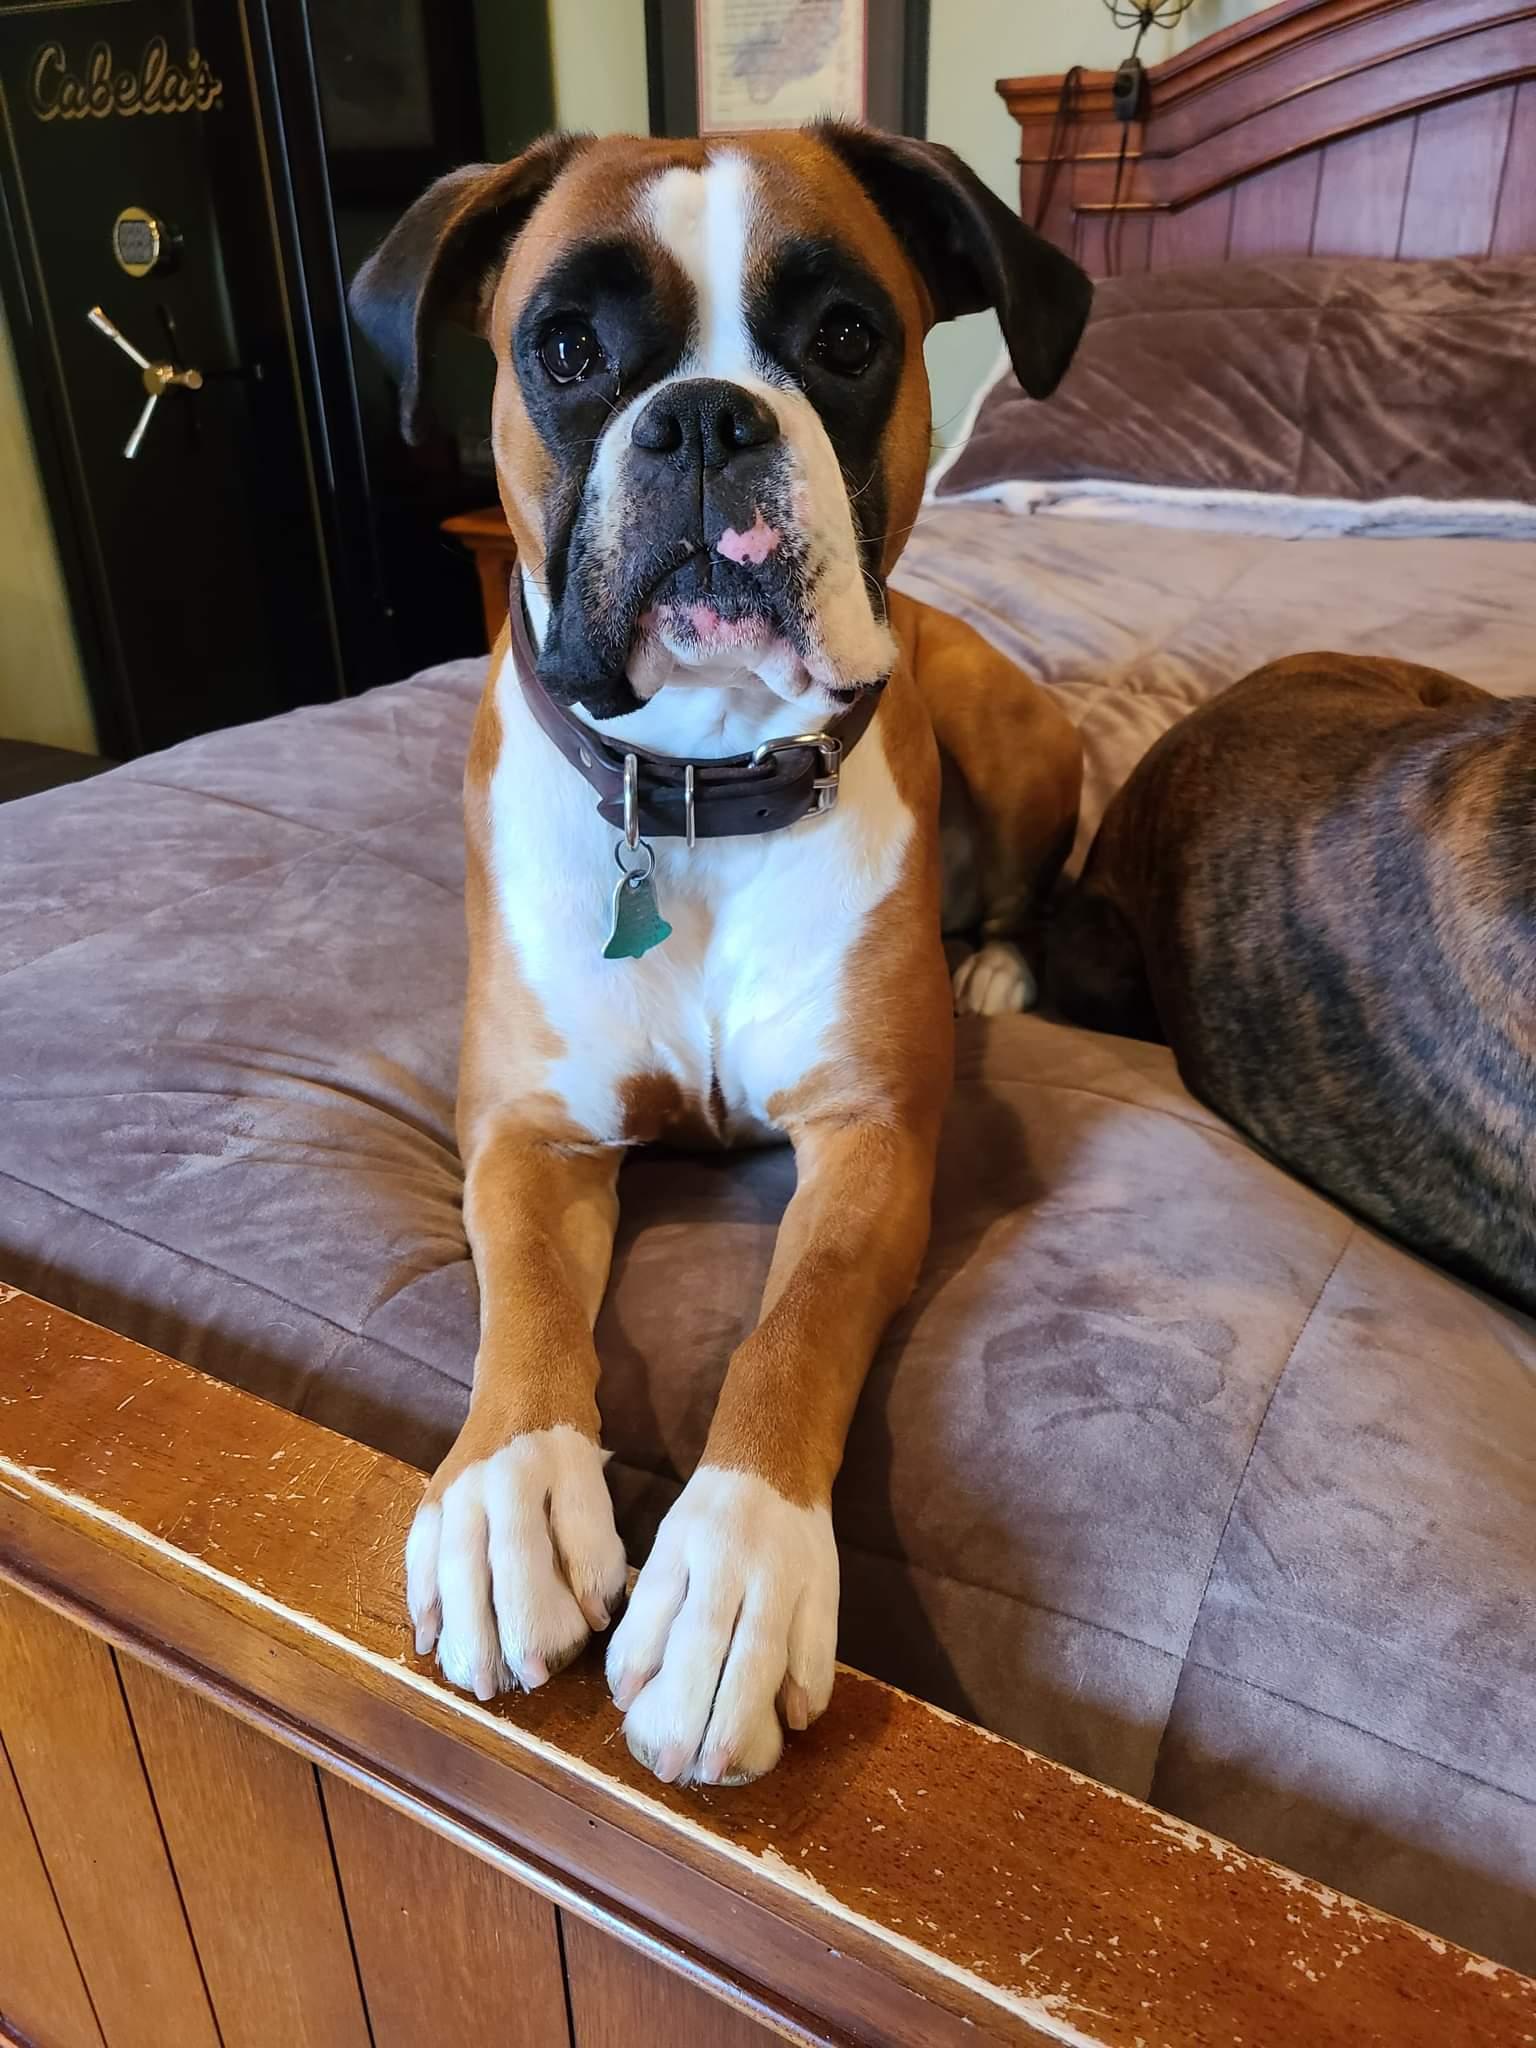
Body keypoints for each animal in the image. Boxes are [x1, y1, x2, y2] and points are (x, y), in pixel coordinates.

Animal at [350, 126, 1090, 1785]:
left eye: (845, 337)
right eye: (565, 349)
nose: (700, 418)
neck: (691, 789)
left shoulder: (873, 1147)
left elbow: (792, 1332)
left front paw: (736, 1564)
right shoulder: (527, 1134)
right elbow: (522, 1300)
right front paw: (508, 1495)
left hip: (1016, 736)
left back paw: (997, 965)